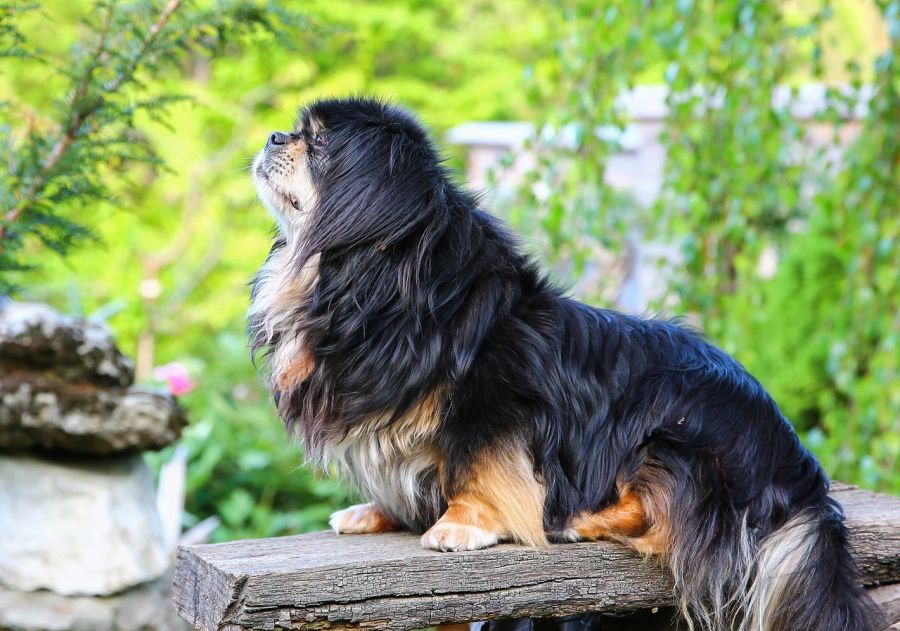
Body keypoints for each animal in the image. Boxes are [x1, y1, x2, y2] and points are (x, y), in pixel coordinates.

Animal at [248, 95, 880, 631]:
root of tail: (801, 472)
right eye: (298, 131)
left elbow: (478, 467)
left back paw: (578, 520)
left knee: (662, 518)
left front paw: (460, 523)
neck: (370, 281)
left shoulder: (496, 404)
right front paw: (377, 512)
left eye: (318, 143)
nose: (274, 134)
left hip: (671, 433)